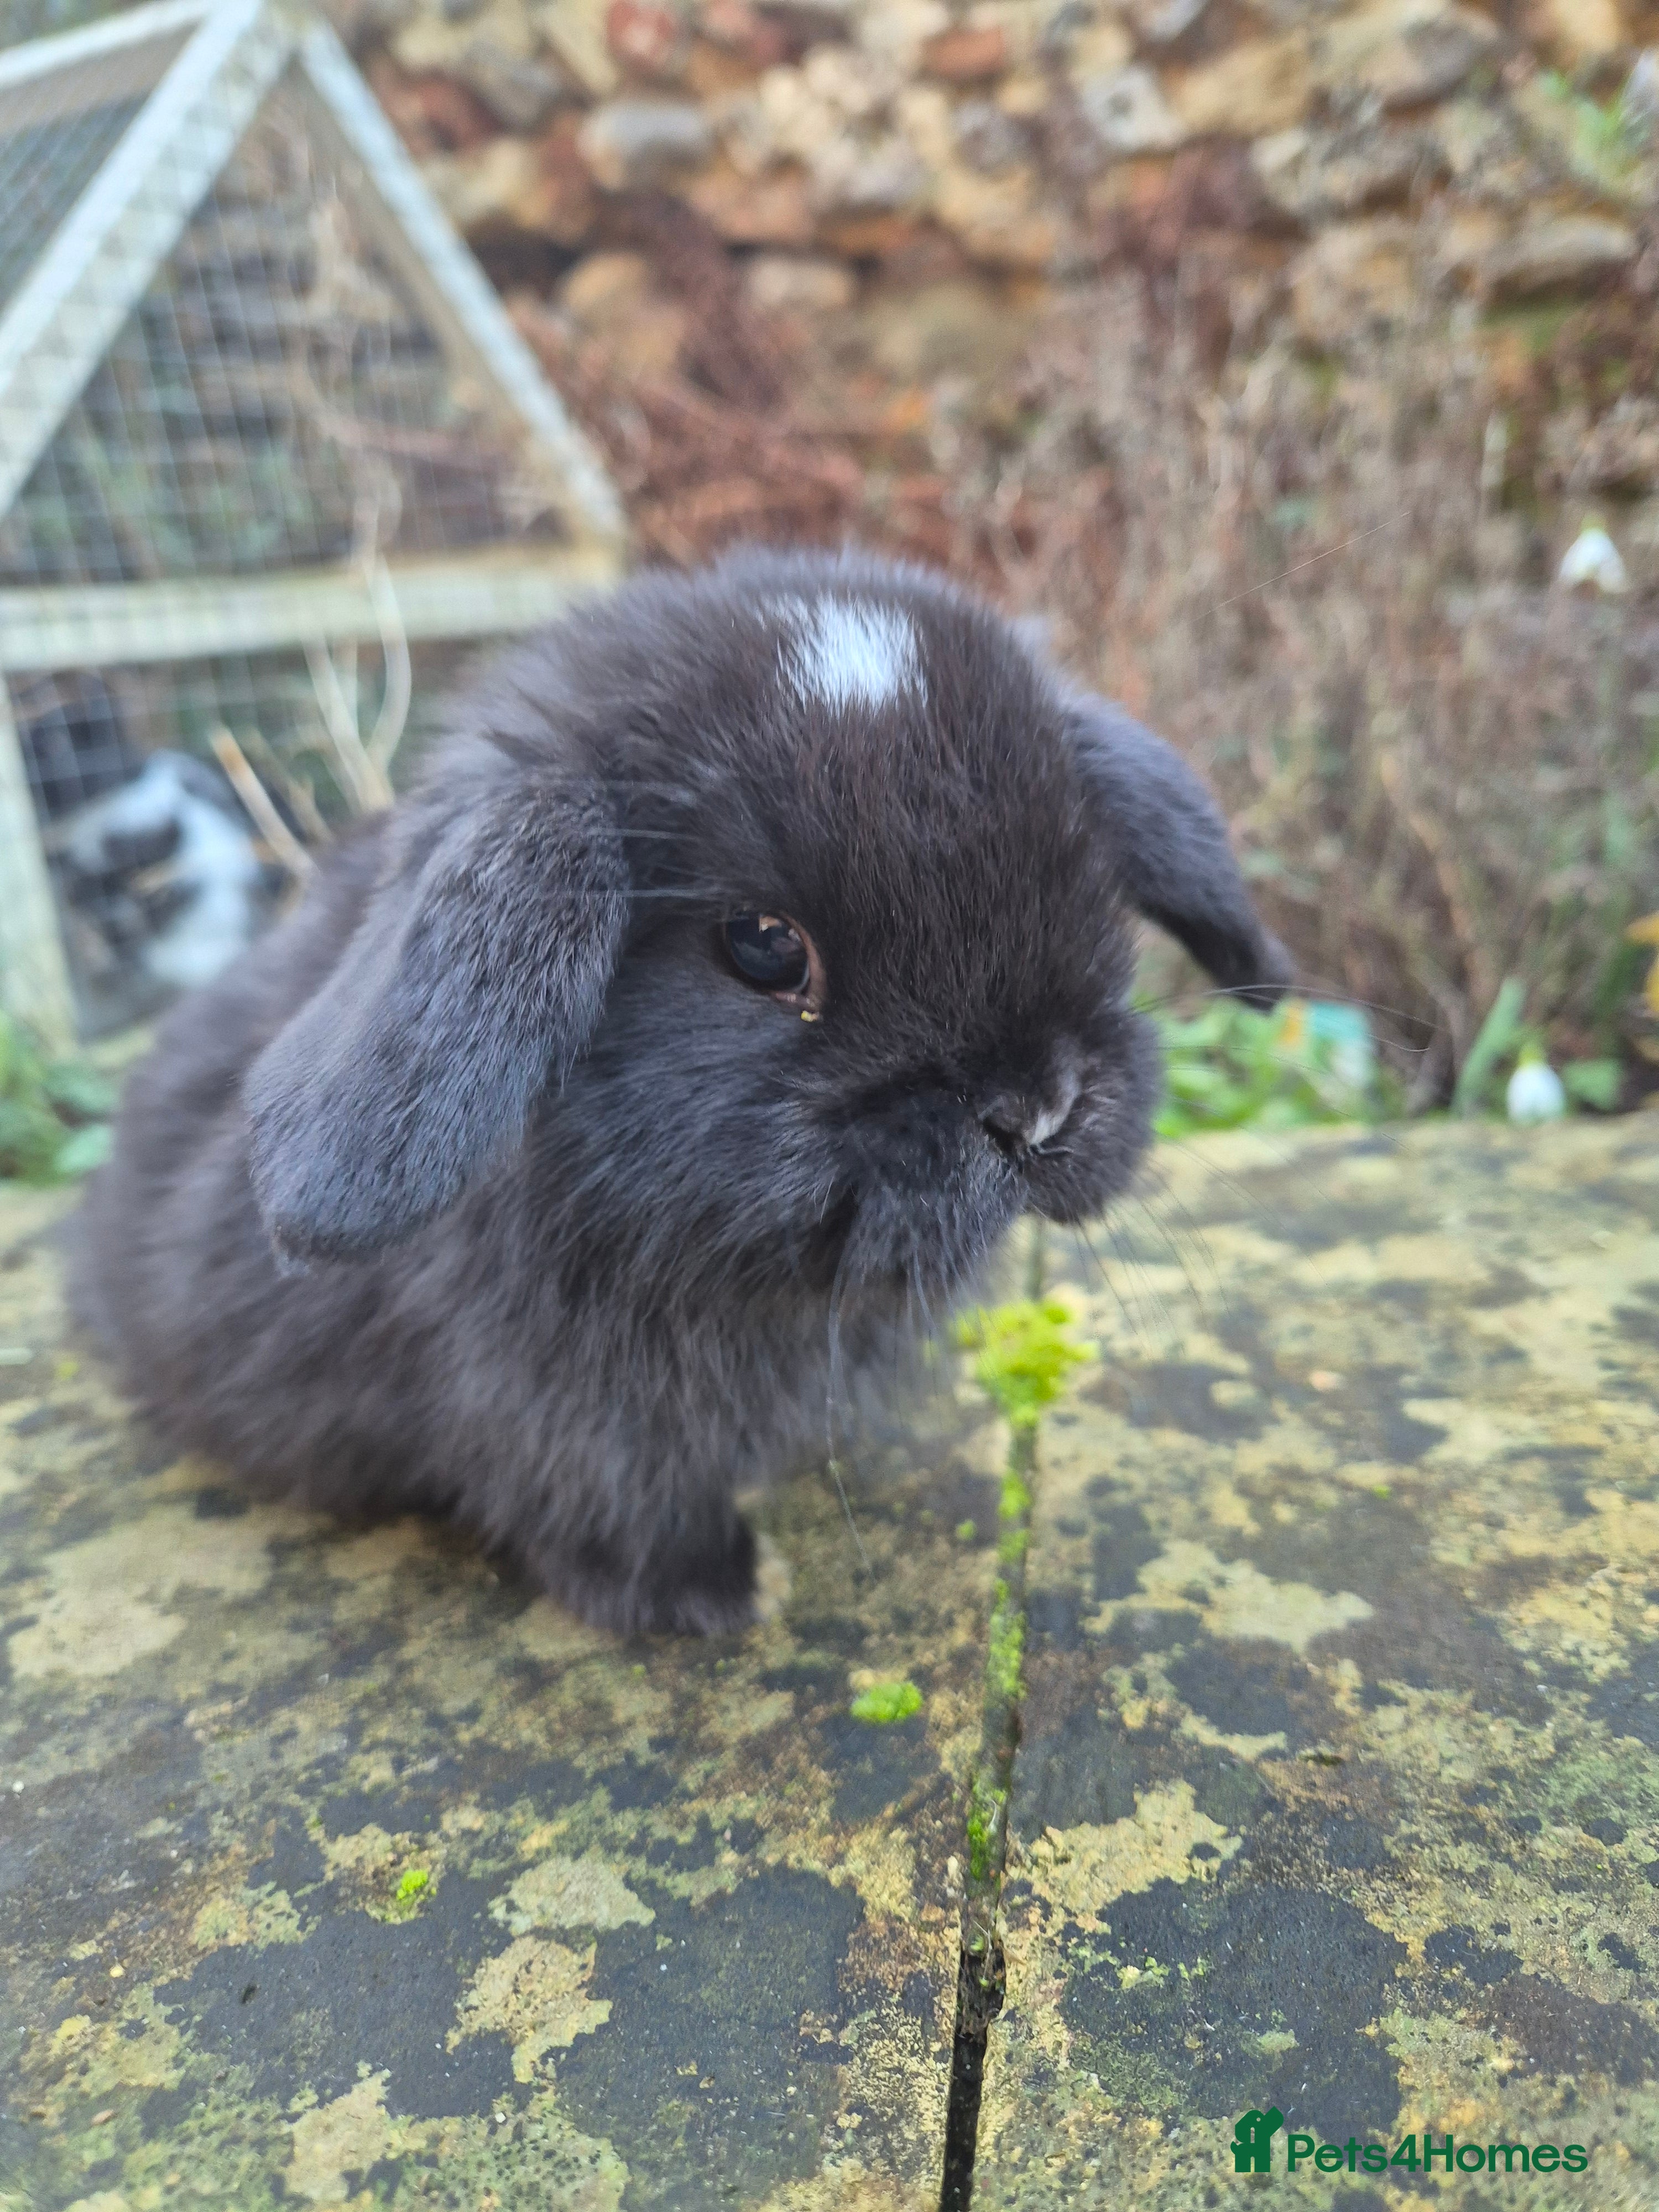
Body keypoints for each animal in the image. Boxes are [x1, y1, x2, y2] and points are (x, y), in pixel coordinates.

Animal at [73, 546, 1290, 1636]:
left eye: (1086, 879)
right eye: (763, 945)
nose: (1036, 1108)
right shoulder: (558, 1406)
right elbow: (605, 1504)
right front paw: (718, 1593)